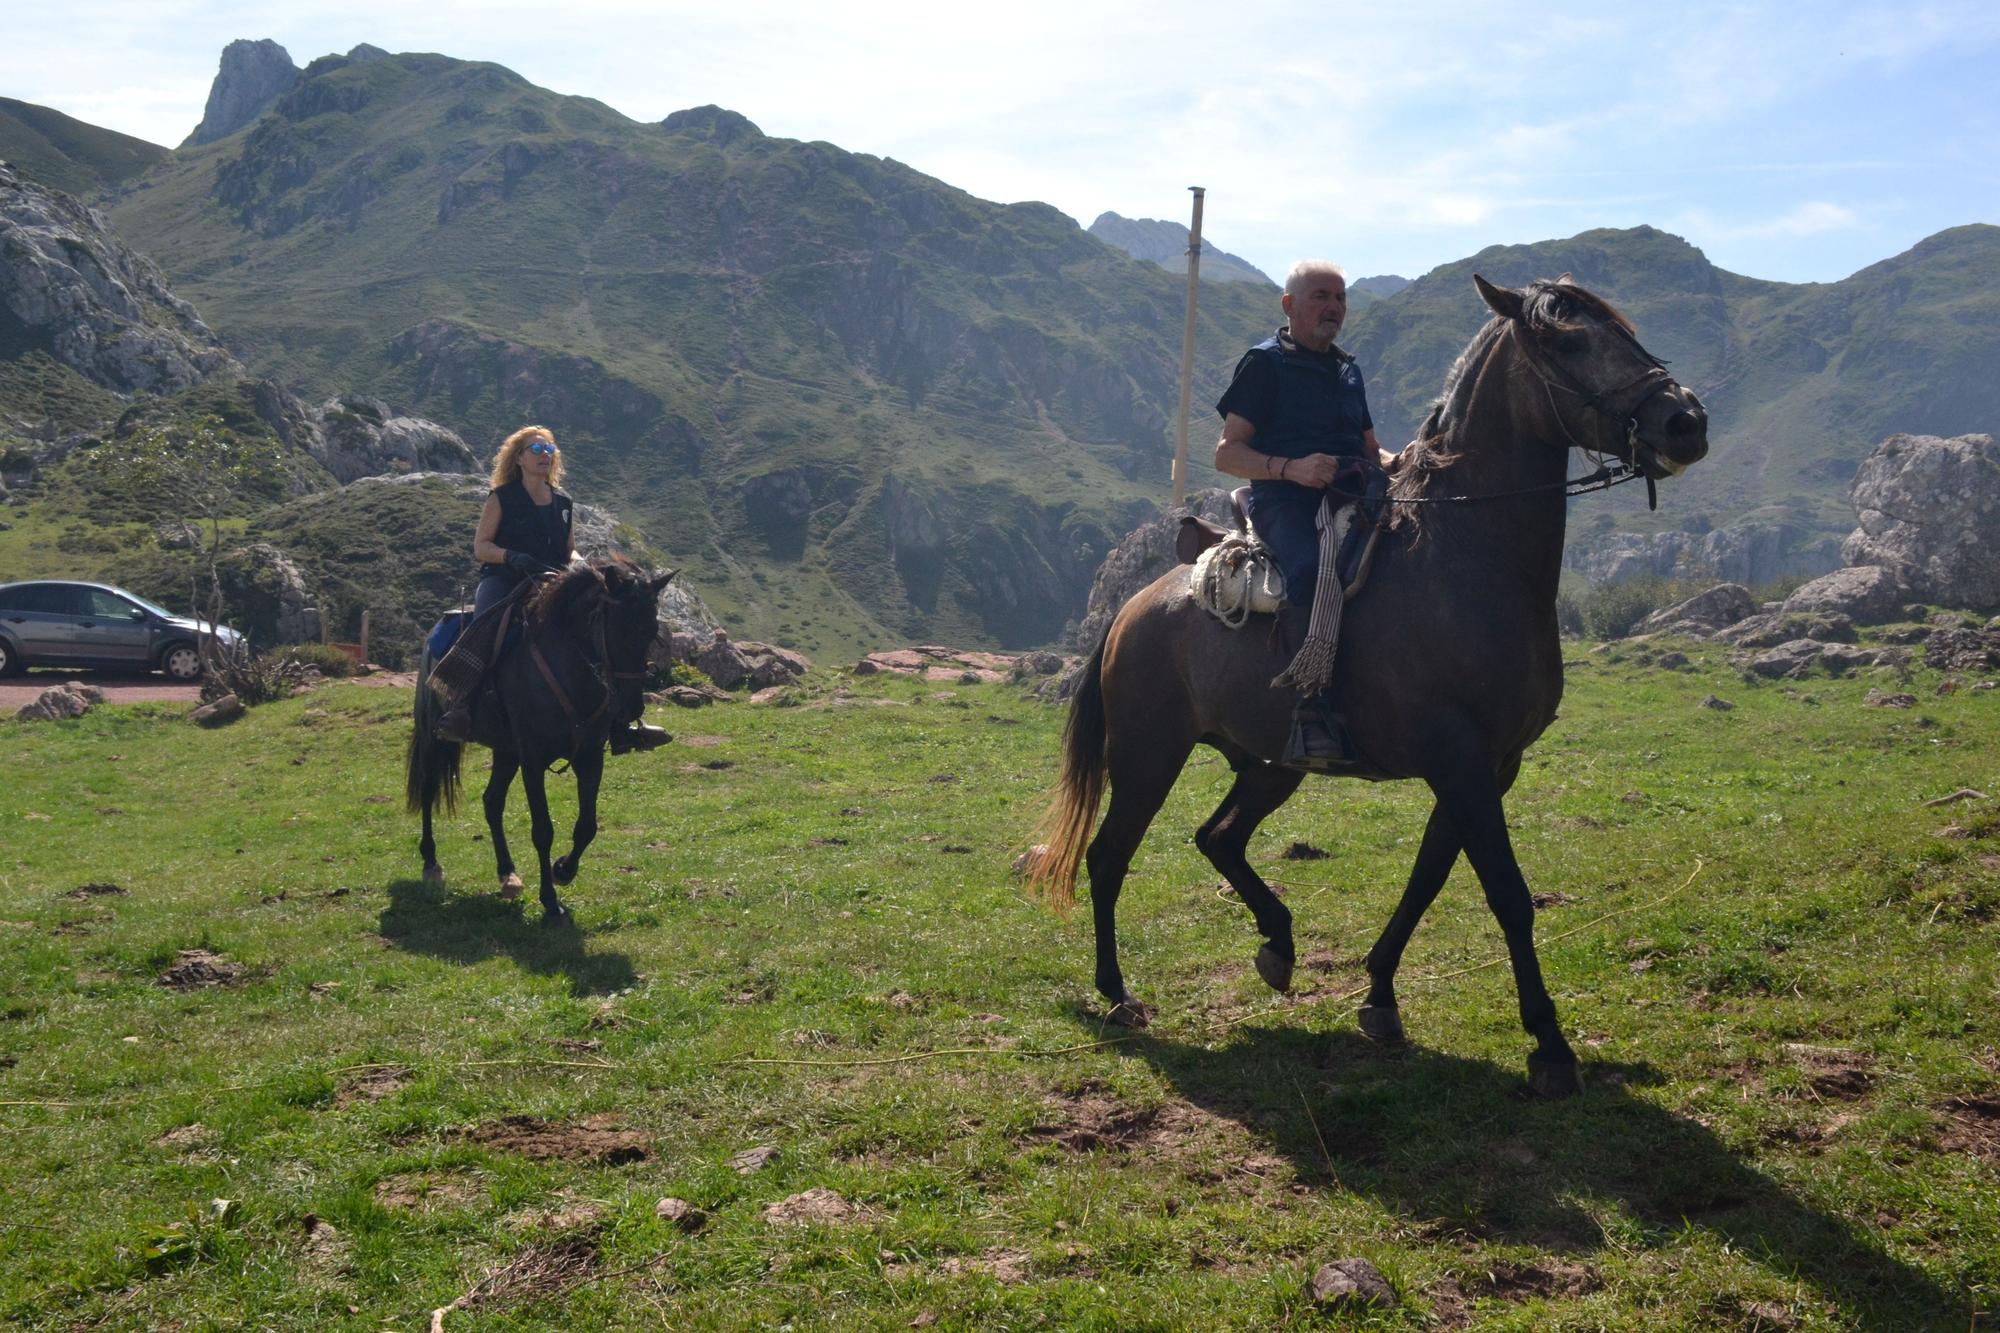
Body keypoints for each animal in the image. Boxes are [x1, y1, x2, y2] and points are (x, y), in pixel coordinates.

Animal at [402, 556, 676, 920]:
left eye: (651, 630)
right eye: (616, 628)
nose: (630, 707)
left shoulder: (590, 756)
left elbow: (587, 826)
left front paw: (563, 870)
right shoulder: (532, 760)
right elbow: (543, 830)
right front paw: (550, 902)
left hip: (506, 751)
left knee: (492, 802)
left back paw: (508, 873)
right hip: (437, 738)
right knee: (430, 788)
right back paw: (431, 863)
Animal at [1040, 274, 1712, 1096]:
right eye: (1568, 340)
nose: (1686, 421)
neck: (1464, 556)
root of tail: (1136, 605)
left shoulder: (1488, 767)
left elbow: (1427, 879)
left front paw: (1381, 995)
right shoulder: (1460, 762)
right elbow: (1508, 895)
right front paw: (1550, 1044)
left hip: (1270, 767)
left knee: (1217, 836)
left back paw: (1277, 944)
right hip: (1148, 759)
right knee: (1108, 858)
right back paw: (1117, 992)